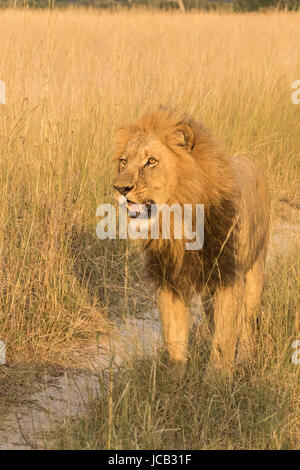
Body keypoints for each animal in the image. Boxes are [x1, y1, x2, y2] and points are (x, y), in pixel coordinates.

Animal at [112, 108, 270, 376]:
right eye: (124, 161)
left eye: (151, 161)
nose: (120, 188)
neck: (177, 222)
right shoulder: (169, 281)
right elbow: (174, 338)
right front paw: (174, 380)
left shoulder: (229, 276)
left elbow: (225, 337)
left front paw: (217, 381)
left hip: (255, 267)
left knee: (248, 320)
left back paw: (245, 360)